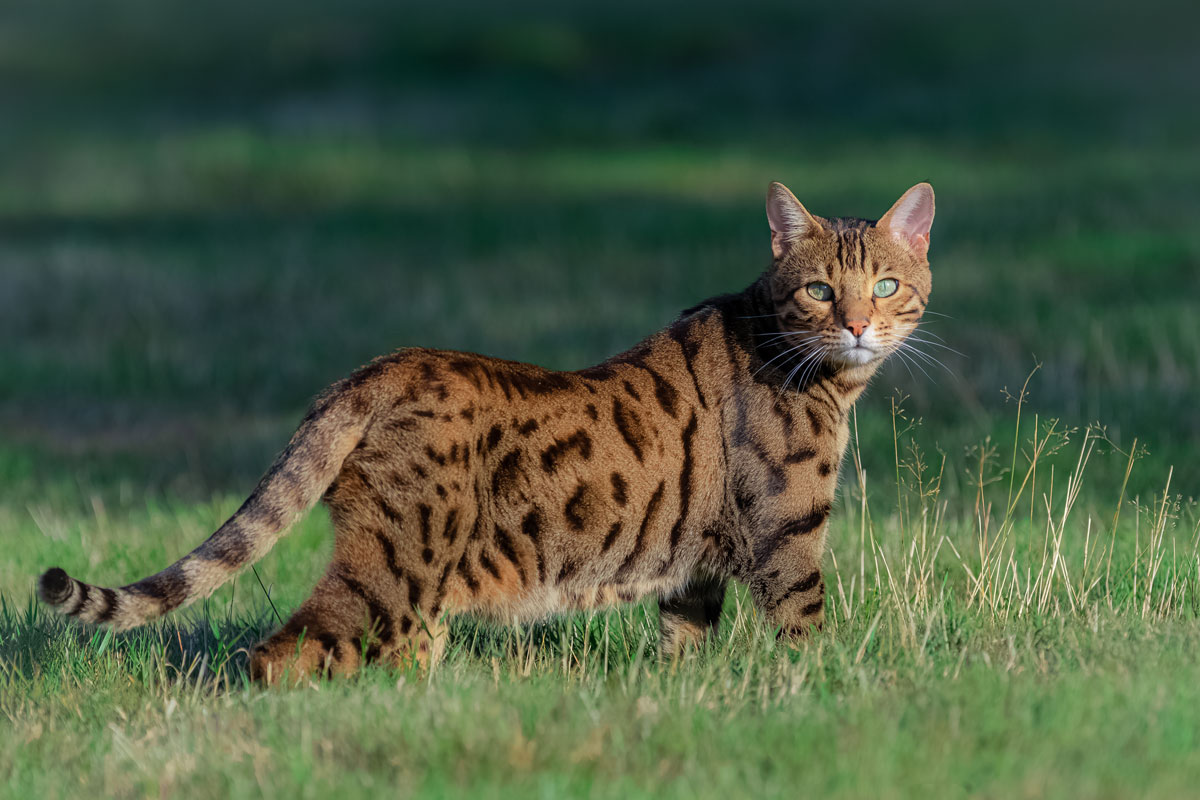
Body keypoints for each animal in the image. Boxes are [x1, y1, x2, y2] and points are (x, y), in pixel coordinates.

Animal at [37, 181, 936, 681]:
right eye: (819, 290)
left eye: (888, 285)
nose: (858, 325)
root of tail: (378, 367)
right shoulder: (786, 535)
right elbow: (807, 634)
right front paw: (830, 693)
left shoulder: (694, 566)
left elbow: (681, 646)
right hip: (397, 567)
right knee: (284, 651)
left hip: (416, 590)